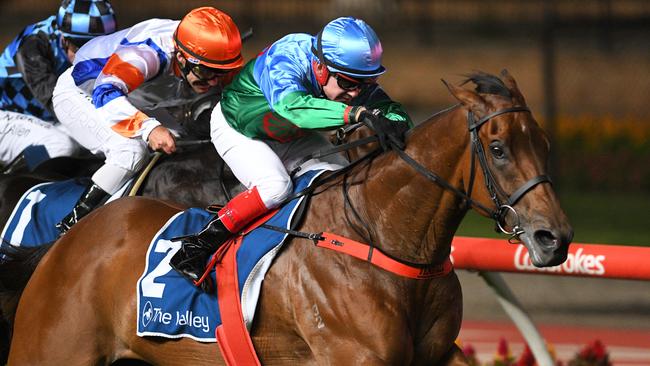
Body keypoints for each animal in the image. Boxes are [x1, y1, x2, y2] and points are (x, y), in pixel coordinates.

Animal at [1, 71, 568, 364]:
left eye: (543, 143)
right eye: (498, 148)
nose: (554, 238)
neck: (381, 236)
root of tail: (69, 237)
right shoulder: (354, 357)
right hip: (48, 349)